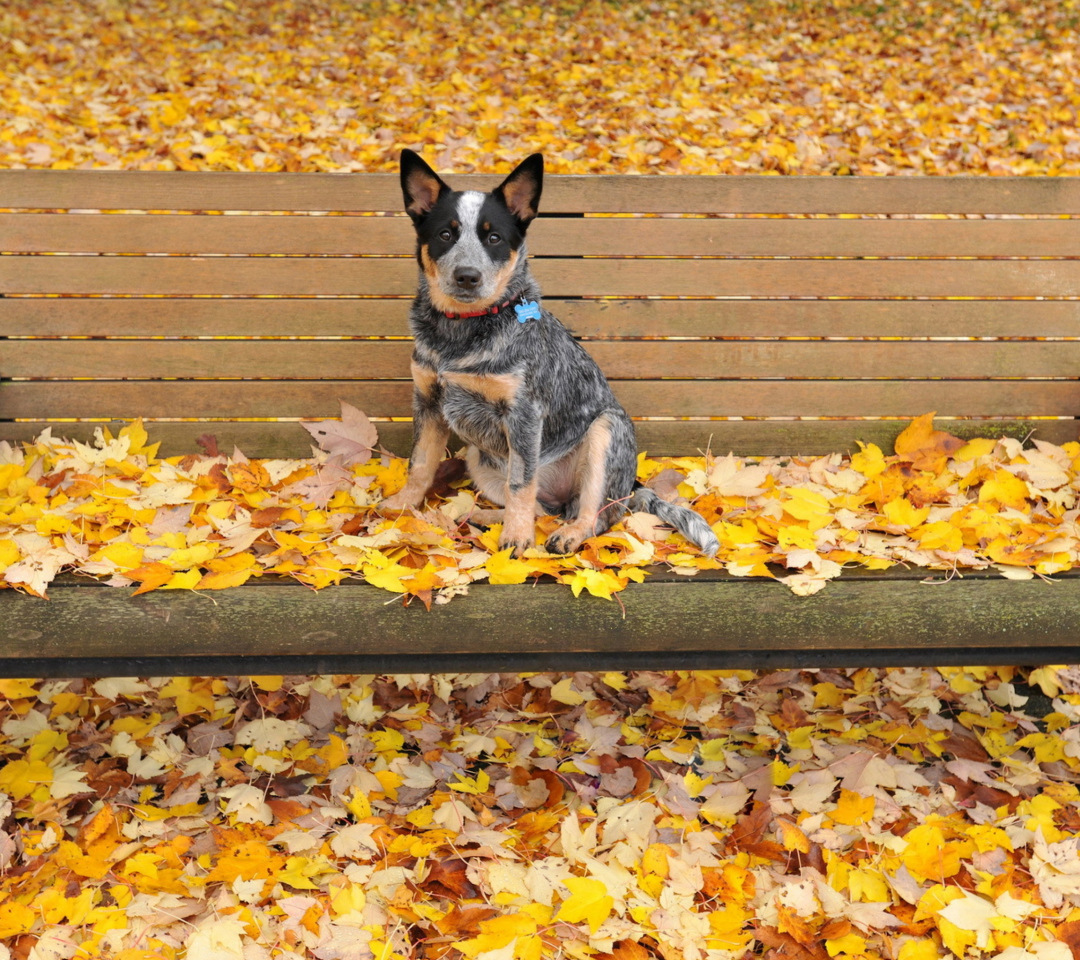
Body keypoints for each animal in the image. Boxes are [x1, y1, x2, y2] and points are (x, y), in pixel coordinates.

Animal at [375, 145, 721, 557]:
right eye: (445, 234)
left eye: (494, 238)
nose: (467, 276)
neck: (460, 332)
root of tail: (630, 487)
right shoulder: (428, 401)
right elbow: (420, 464)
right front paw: (402, 506)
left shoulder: (524, 414)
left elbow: (521, 484)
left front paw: (516, 538)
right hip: (479, 457)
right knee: (542, 508)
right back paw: (488, 517)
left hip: (606, 432)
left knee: (596, 515)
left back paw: (568, 533)